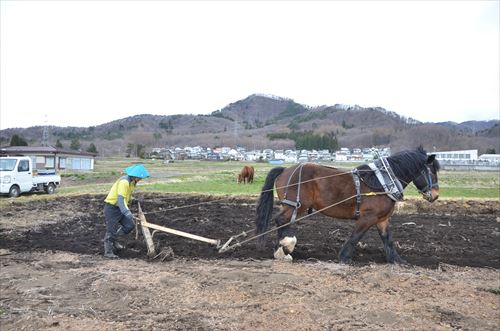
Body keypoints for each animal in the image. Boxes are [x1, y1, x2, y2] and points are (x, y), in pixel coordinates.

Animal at [256, 148, 440, 264]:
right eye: (432, 171)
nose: (436, 195)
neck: (382, 182)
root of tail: (285, 170)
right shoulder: (368, 217)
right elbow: (355, 236)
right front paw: (344, 257)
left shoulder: (382, 219)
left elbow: (388, 239)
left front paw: (396, 260)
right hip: (297, 206)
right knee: (281, 221)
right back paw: (283, 250)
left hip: (294, 206)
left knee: (283, 222)